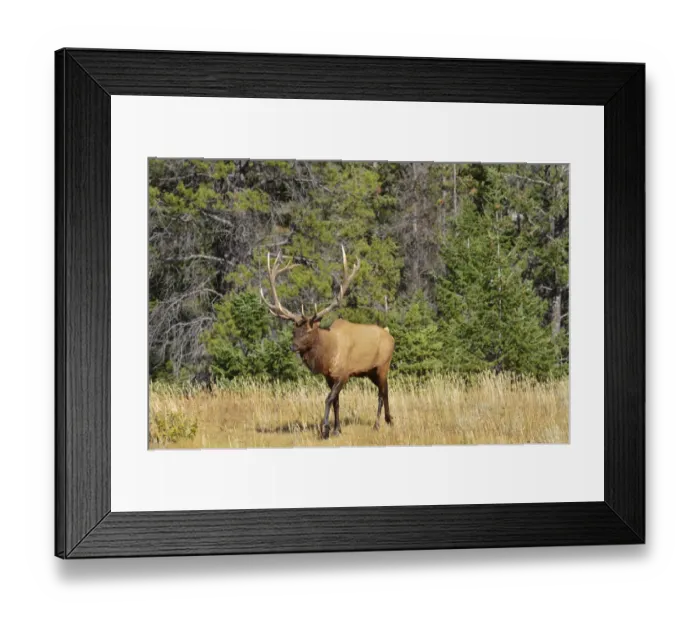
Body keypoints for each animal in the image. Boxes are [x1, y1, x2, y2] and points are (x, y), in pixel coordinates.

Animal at [260, 246, 395, 439]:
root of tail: (390, 336)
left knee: (382, 392)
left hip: (383, 364)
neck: (328, 355)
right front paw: (337, 429)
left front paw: (325, 430)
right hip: (370, 371)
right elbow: (336, 401)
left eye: (309, 331)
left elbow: (328, 398)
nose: (293, 346)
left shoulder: (344, 374)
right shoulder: (329, 377)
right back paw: (386, 420)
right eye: (294, 331)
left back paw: (380, 423)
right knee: (384, 389)